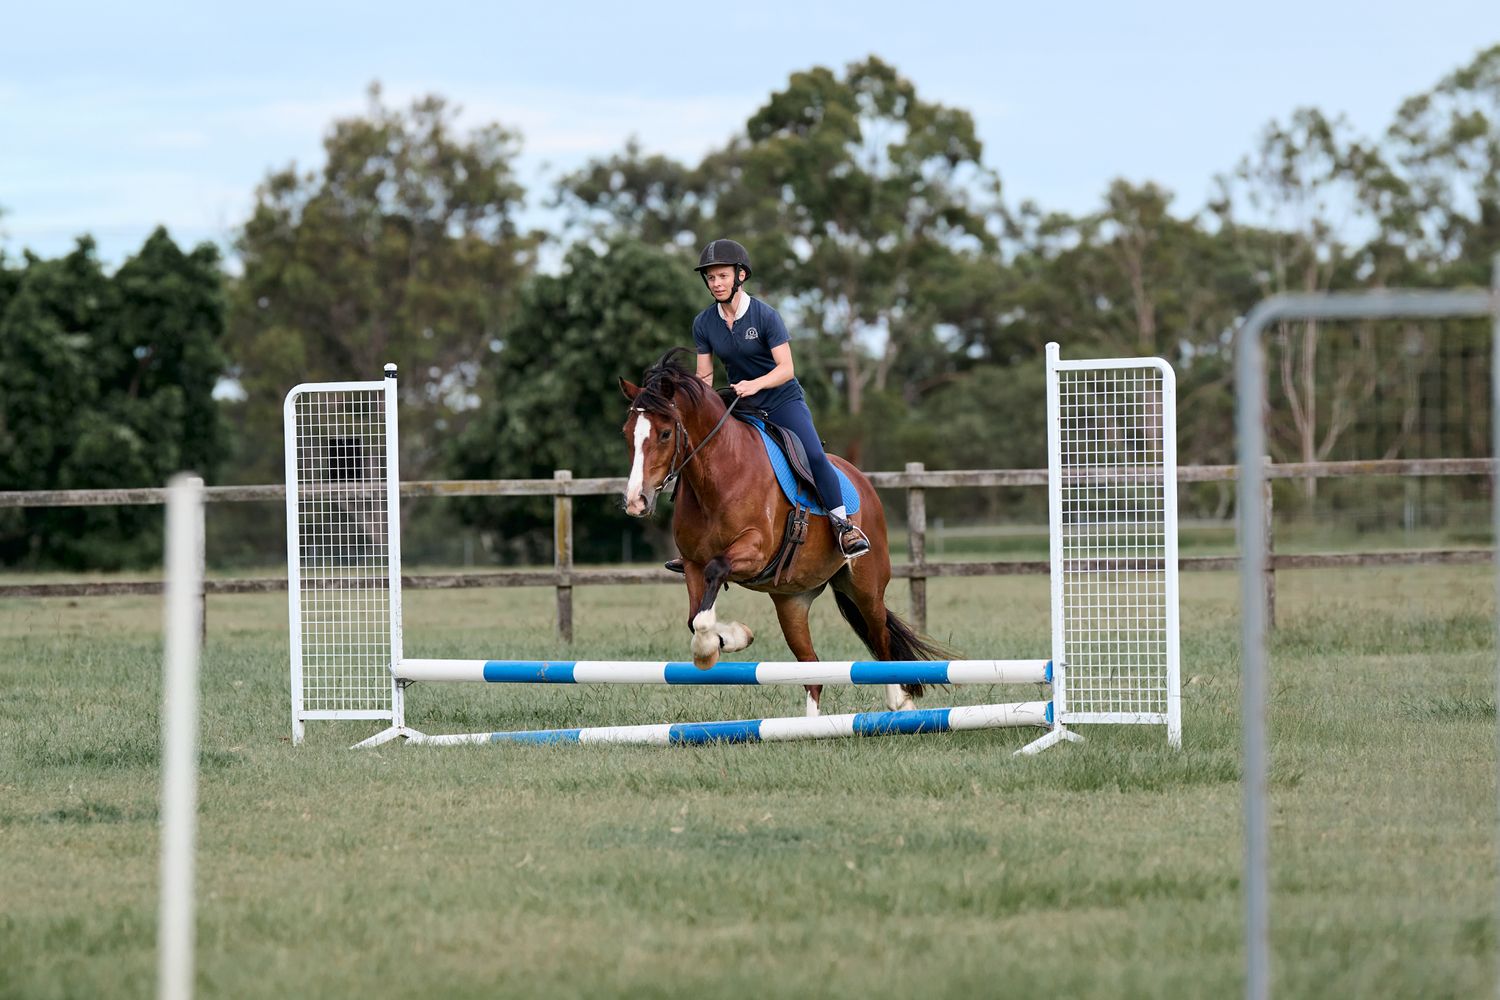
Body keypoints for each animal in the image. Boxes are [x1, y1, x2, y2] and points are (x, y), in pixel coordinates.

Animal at [618, 347, 951, 717]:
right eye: (626, 433)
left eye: (664, 433)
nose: (635, 501)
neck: (718, 475)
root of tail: (862, 482)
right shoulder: (692, 563)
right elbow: (696, 618)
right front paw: (729, 639)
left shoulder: (754, 550)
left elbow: (716, 572)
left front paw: (722, 642)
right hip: (792, 602)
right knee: (812, 671)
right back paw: (811, 724)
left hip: (867, 587)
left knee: (880, 639)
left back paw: (898, 699)